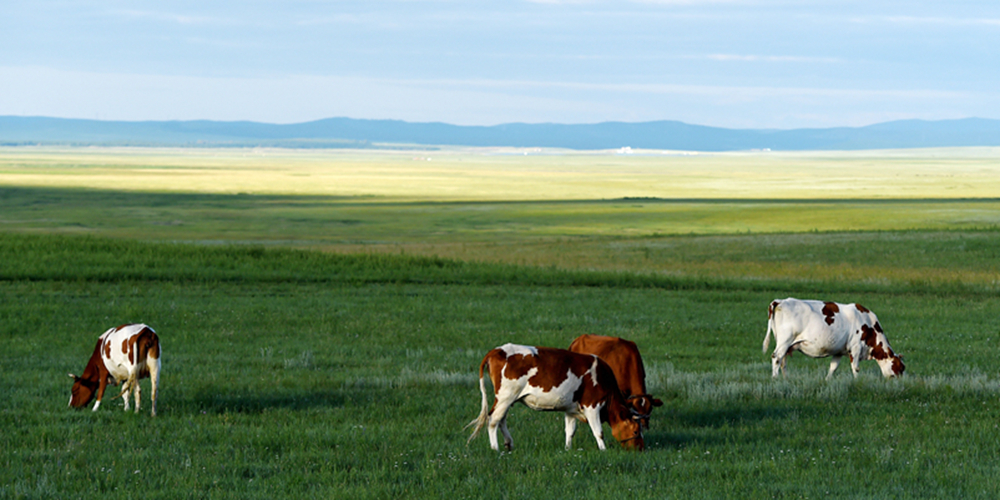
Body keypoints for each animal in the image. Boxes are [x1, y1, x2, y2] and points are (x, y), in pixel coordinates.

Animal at [466, 344, 644, 454]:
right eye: (636, 431)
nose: (640, 449)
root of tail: (497, 350)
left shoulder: (571, 409)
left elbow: (570, 431)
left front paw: (567, 449)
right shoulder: (592, 406)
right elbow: (598, 431)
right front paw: (603, 450)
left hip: (508, 399)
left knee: (501, 419)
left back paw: (509, 444)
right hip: (505, 397)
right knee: (493, 420)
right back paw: (495, 449)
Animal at [764, 296, 908, 378]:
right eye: (901, 368)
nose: (902, 384)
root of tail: (780, 301)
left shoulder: (839, 351)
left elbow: (833, 367)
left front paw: (827, 380)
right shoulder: (855, 347)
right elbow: (855, 368)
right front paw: (857, 382)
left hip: (786, 344)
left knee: (783, 361)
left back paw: (785, 380)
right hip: (785, 341)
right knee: (776, 357)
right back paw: (775, 379)